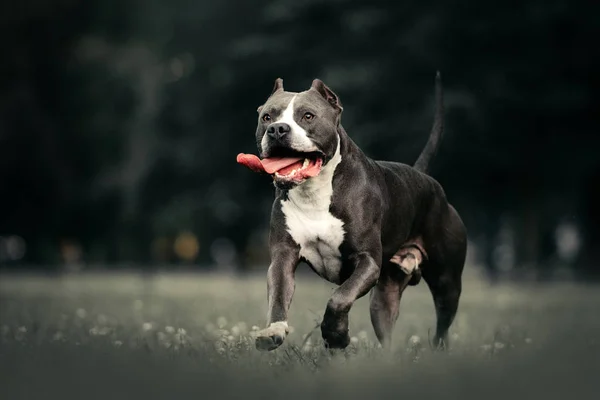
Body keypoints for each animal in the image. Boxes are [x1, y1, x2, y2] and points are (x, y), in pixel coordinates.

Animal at [237, 73, 466, 352]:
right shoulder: (283, 256)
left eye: (308, 116)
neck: (315, 193)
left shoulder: (367, 261)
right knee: (385, 324)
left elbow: (340, 296)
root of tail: (424, 177)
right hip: (385, 294)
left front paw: (336, 335)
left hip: (447, 281)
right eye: (267, 117)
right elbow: (279, 295)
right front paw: (274, 331)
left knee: (443, 323)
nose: (278, 129)